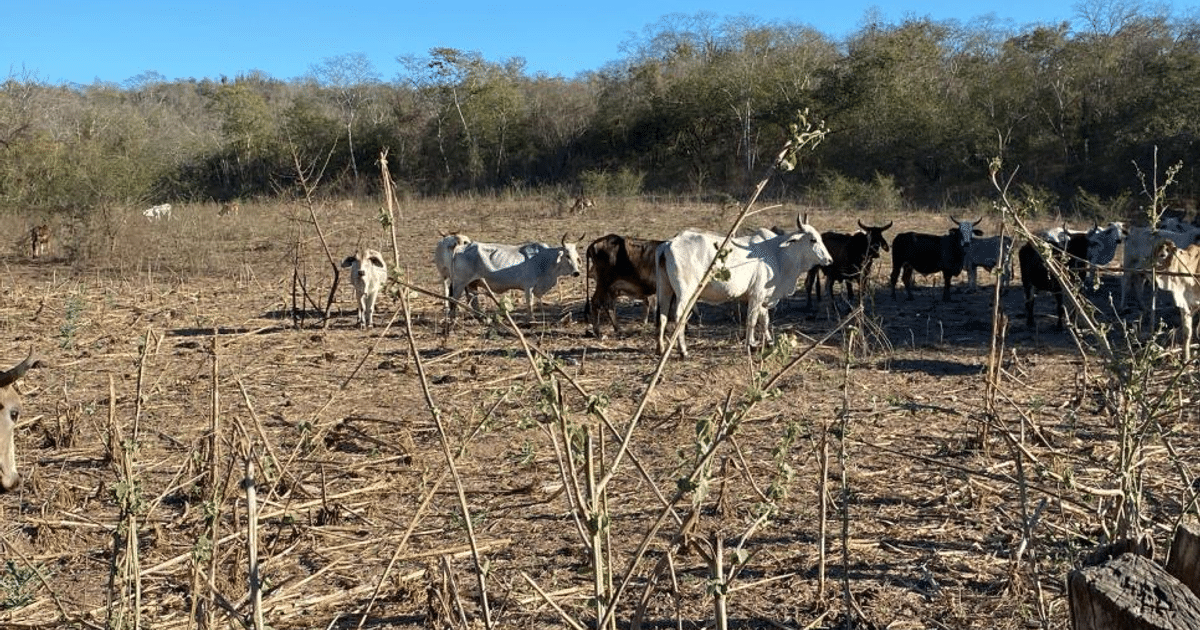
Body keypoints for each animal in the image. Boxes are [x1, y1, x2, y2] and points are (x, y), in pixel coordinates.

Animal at [448, 236, 582, 321]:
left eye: (576, 256)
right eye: (567, 255)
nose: (576, 272)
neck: (544, 259)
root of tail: (460, 248)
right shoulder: (529, 286)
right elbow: (529, 303)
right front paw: (531, 319)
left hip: (472, 283)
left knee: (473, 300)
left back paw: (480, 317)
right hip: (459, 283)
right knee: (453, 300)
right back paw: (453, 319)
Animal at [655, 214, 831, 358]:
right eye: (813, 239)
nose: (829, 260)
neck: (778, 254)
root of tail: (669, 243)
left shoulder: (763, 298)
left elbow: (764, 320)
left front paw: (768, 342)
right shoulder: (756, 294)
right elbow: (752, 320)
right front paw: (750, 345)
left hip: (664, 289)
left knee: (662, 316)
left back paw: (661, 349)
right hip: (686, 292)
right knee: (679, 317)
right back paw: (683, 351)